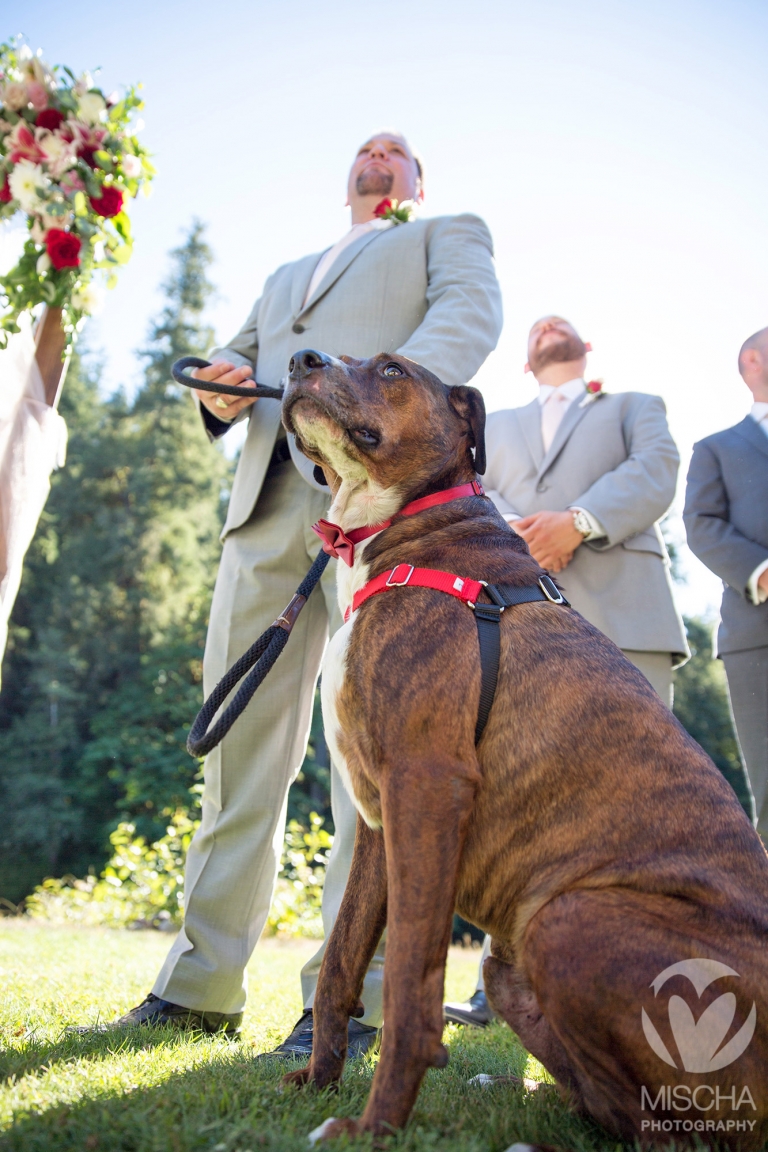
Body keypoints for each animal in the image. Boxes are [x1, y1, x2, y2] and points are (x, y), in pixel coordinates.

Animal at [282, 345, 768, 1147]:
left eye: (392, 368)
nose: (300, 357)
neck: (414, 524)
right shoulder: (384, 821)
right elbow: (342, 964)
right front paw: (316, 1084)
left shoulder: (427, 787)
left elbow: (409, 985)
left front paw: (375, 1126)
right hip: (512, 964)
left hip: (566, 920)